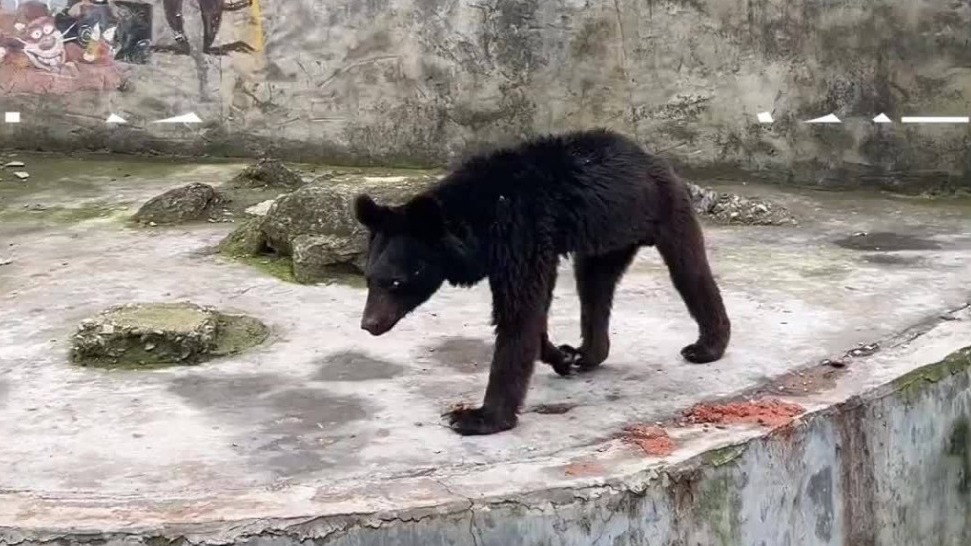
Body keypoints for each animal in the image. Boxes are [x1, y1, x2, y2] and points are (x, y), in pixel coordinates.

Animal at [356, 126, 728, 434]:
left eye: (396, 282)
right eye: (370, 278)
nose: (369, 324)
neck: (477, 224)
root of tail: (652, 157)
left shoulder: (520, 233)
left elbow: (518, 314)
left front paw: (477, 417)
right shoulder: (522, 249)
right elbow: (536, 306)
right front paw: (559, 356)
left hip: (662, 209)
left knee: (689, 270)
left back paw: (706, 346)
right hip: (604, 238)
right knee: (594, 285)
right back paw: (587, 353)